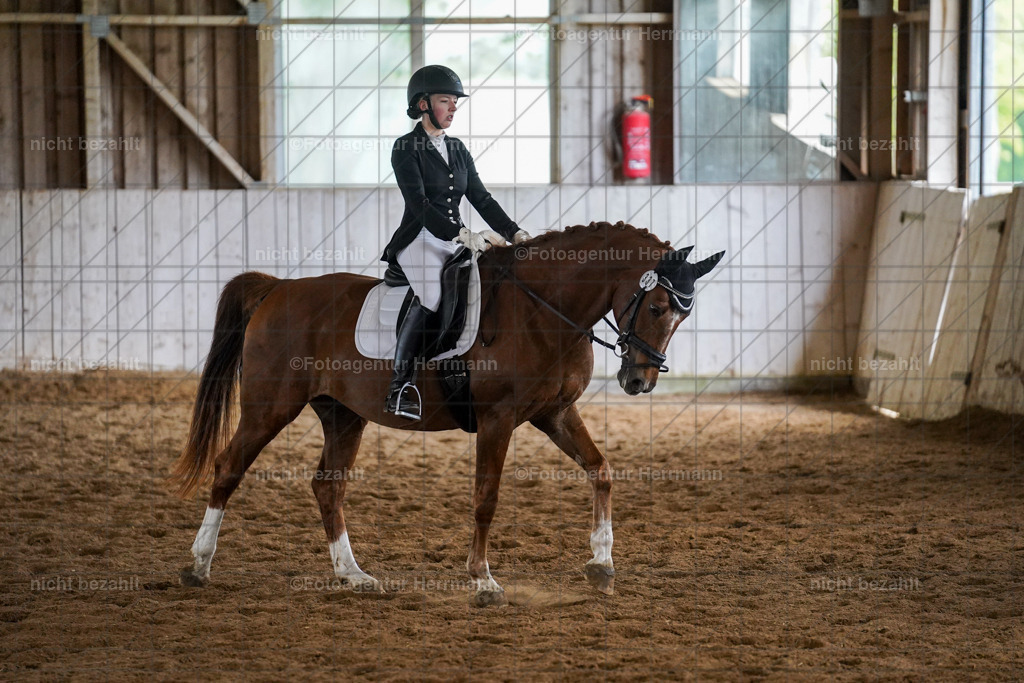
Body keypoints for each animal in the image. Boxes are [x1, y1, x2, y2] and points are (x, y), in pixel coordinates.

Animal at [172, 221, 724, 607]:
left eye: (684, 316)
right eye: (656, 307)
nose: (639, 381)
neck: (543, 308)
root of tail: (277, 288)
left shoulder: (555, 413)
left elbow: (601, 470)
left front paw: (602, 564)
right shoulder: (499, 419)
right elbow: (486, 498)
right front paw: (483, 582)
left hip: (344, 415)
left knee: (328, 486)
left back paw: (353, 575)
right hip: (270, 407)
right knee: (229, 467)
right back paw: (198, 566)